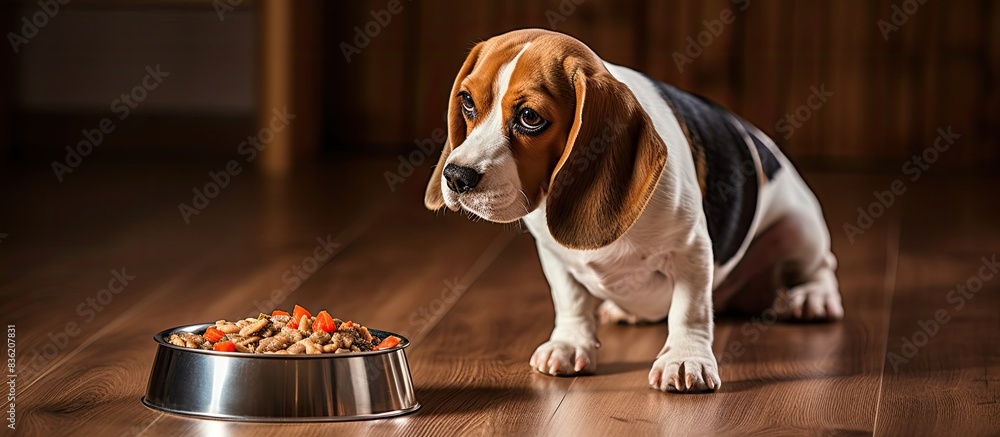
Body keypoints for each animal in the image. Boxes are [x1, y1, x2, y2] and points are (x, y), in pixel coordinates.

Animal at [424, 29, 844, 394]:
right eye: (467, 101)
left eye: (530, 118)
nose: (456, 176)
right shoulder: (553, 254)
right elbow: (570, 298)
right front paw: (570, 343)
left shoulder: (691, 249)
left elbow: (689, 309)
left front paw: (685, 359)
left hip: (799, 228)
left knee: (821, 266)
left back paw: (814, 299)